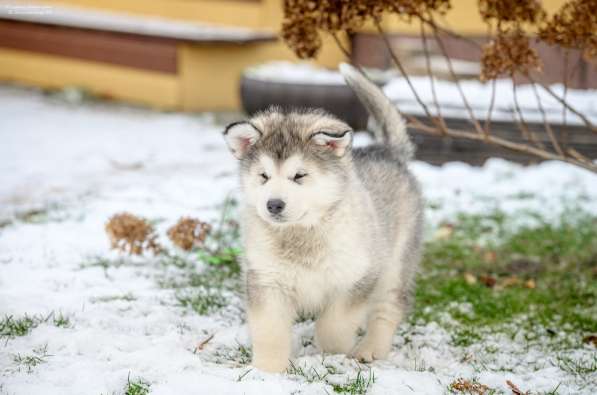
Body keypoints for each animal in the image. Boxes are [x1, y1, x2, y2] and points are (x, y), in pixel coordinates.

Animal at [224, 63, 424, 372]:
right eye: (263, 176)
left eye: (299, 175)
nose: (273, 205)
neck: (303, 233)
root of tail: (387, 152)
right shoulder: (266, 280)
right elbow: (269, 330)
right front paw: (267, 371)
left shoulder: (359, 276)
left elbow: (334, 324)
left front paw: (333, 351)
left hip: (395, 263)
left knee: (388, 307)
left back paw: (370, 349)